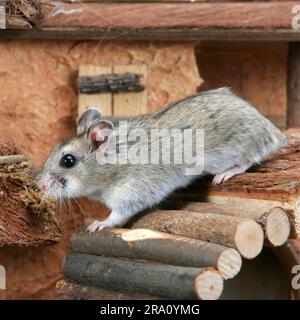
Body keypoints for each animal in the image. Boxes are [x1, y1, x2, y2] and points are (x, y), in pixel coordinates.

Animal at [38, 87, 288, 232]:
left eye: (68, 161)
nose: (39, 185)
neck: (113, 167)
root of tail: (274, 130)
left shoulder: (129, 196)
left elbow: (115, 217)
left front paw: (97, 225)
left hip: (230, 152)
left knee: (248, 159)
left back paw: (224, 175)